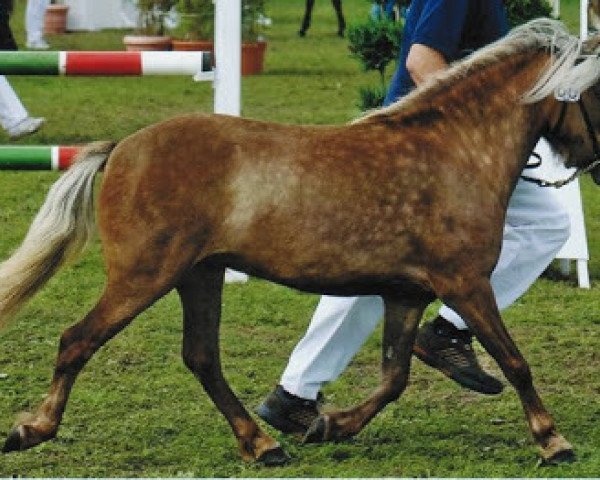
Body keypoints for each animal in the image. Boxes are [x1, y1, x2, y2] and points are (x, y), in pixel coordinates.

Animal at [1, 17, 600, 464]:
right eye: (597, 92)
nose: (593, 165)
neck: (454, 152)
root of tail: (122, 147)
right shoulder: (466, 283)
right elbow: (514, 361)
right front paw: (553, 441)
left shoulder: (406, 294)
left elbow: (394, 377)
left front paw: (331, 425)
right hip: (144, 275)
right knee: (77, 339)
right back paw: (32, 430)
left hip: (200, 274)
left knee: (201, 357)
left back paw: (262, 443)